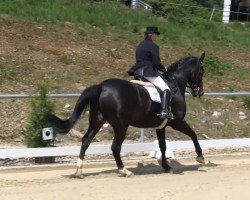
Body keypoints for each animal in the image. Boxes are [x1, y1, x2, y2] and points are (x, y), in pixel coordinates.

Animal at [48, 52, 205, 177]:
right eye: (202, 71)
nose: (200, 92)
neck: (175, 84)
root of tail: (102, 86)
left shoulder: (161, 126)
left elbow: (162, 146)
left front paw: (167, 167)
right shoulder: (177, 122)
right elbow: (193, 135)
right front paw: (200, 157)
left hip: (97, 121)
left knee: (86, 140)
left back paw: (79, 170)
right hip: (121, 126)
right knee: (115, 147)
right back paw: (124, 170)